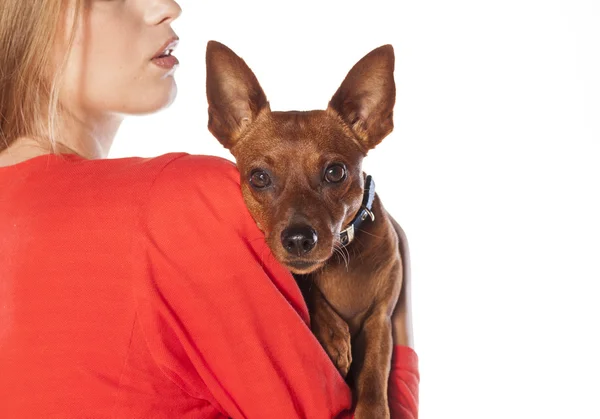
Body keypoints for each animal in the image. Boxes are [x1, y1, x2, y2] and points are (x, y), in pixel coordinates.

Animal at [204, 40, 406, 419]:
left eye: (336, 172)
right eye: (259, 177)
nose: (299, 239)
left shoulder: (380, 321)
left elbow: (374, 372)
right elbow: (308, 286)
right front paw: (332, 333)